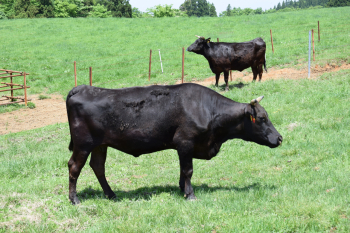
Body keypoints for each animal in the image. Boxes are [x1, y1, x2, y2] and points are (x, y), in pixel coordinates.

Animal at [67, 83, 284, 204]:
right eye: (262, 118)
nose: (280, 138)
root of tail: (82, 88)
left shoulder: (184, 147)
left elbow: (182, 170)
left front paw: (182, 189)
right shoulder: (186, 142)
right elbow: (188, 170)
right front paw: (190, 194)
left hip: (99, 145)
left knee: (98, 167)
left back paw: (111, 195)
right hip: (83, 144)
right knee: (74, 167)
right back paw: (74, 199)